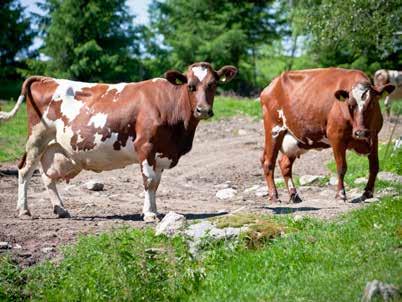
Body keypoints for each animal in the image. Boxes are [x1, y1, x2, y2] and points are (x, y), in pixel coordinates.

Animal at [0, 62, 237, 222]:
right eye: (190, 86)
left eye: (213, 84)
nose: (203, 110)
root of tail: (46, 79)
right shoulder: (146, 146)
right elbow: (149, 181)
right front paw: (149, 214)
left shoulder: (162, 152)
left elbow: (156, 184)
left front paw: (153, 210)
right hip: (37, 138)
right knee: (25, 170)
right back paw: (24, 210)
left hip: (55, 147)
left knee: (47, 176)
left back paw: (60, 209)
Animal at [260, 68, 394, 203]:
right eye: (350, 105)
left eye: (372, 104)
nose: (360, 132)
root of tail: (272, 84)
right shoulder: (336, 137)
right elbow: (341, 167)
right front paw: (340, 194)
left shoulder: (374, 136)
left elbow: (374, 166)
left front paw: (368, 193)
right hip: (273, 129)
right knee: (268, 162)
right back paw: (274, 196)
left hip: (295, 141)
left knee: (285, 164)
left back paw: (294, 195)